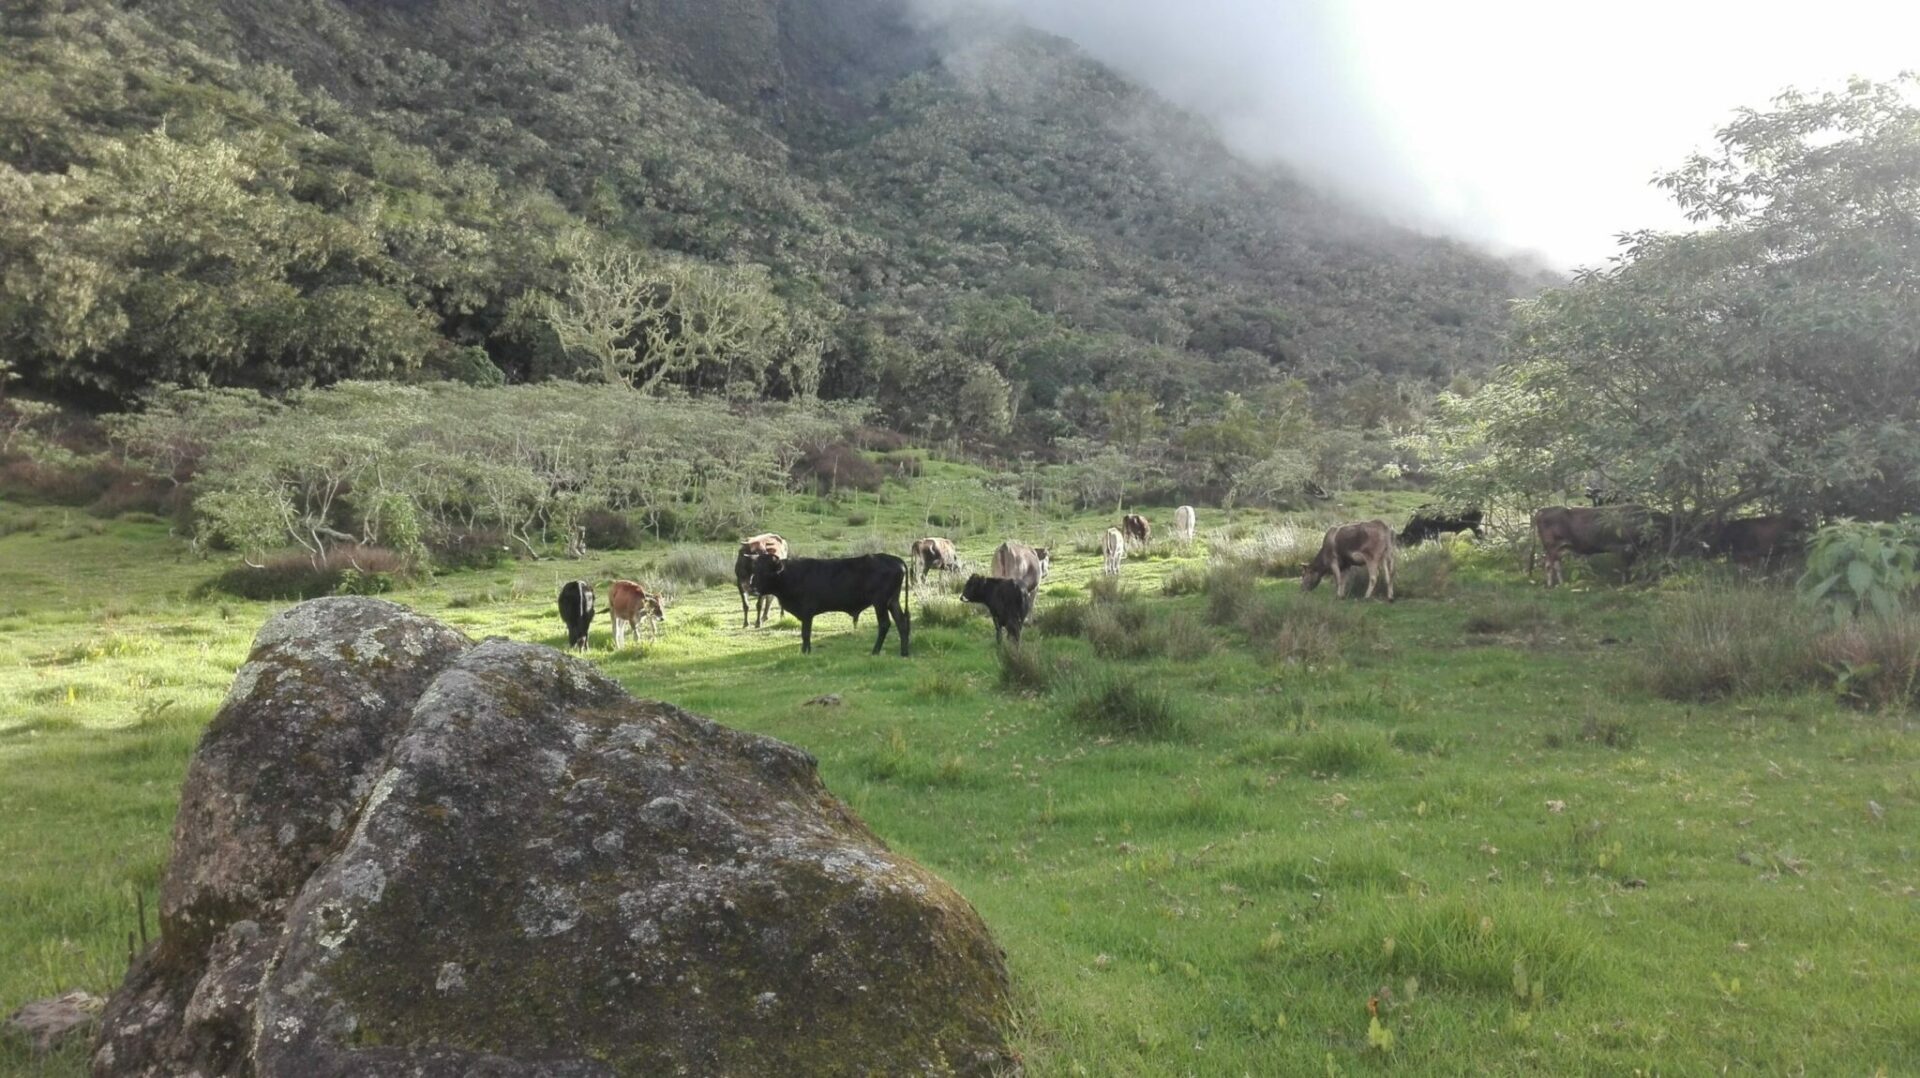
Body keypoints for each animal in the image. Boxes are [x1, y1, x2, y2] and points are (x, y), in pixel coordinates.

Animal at [744, 553, 910, 657]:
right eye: (755, 570)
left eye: (766, 572)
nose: (752, 588)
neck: (790, 575)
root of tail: (896, 560)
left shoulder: (807, 611)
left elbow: (805, 634)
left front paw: (804, 652)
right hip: (892, 601)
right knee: (902, 623)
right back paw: (904, 653)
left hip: (880, 602)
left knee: (884, 624)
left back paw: (875, 651)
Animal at [1536, 507, 1674, 588]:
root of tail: (1541, 511)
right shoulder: (1625, 548)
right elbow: (1625, 568)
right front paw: (1625, 584)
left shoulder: (1637, 550)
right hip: (1552, 547)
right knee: (1550, 565)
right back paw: (1553, 584)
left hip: (1559, 548)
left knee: (1554, 564)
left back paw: (1559, 584)